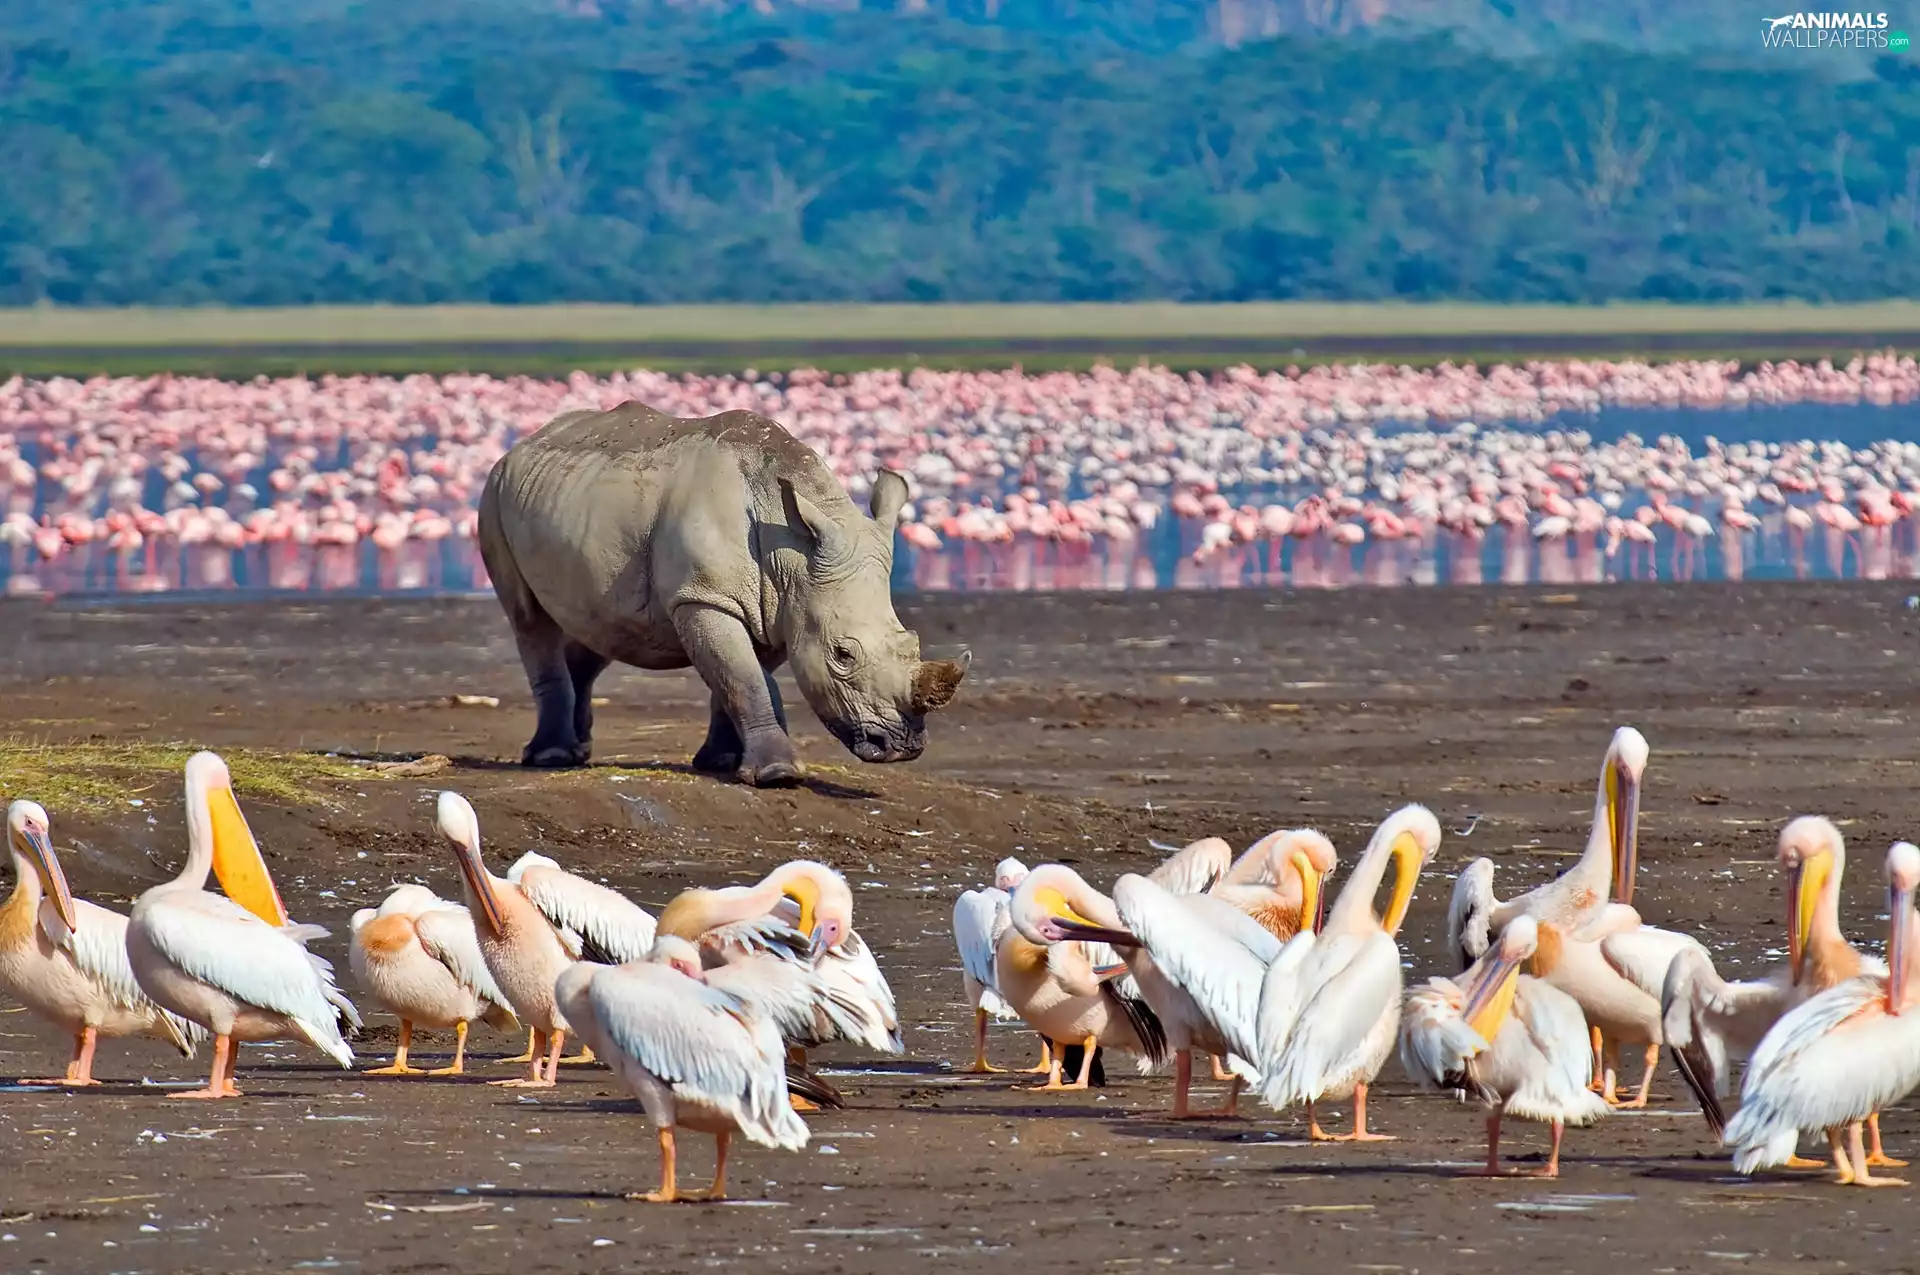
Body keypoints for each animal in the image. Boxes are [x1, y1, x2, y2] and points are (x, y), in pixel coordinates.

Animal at [476, 402, 969, 785]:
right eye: (842, 655)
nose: (902, 746)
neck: (791, 552)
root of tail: (526, 442)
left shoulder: (781, 604)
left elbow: (739, 677)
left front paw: (722, 763)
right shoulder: (705, 597)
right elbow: (744, 676)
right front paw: (776, 776)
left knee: (598, 627)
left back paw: (577, 753)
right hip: (493, 494)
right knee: (530, 619)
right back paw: (551, 757)